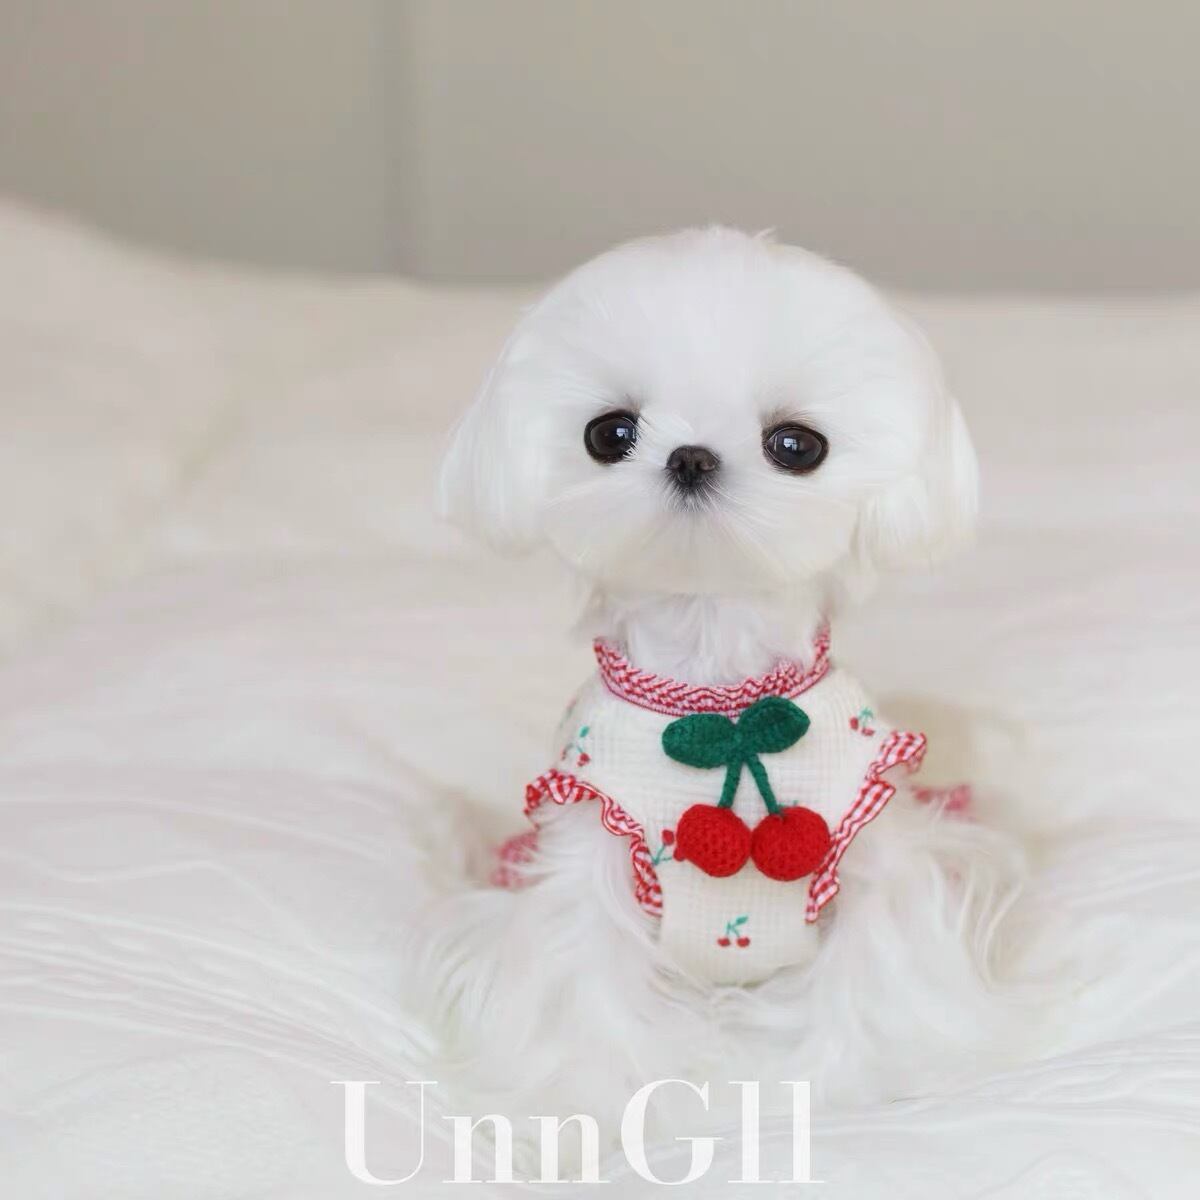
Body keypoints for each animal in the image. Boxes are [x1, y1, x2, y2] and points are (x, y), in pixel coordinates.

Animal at [411, 227, 1029, 1148]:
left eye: (796, 444)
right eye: (609, 433)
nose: (691, 456)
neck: (723, 709)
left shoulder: (875, 848)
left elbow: (872, 981)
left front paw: (835, 1088)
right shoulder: (587, 845)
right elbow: (575, 986)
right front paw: (578, 1113)